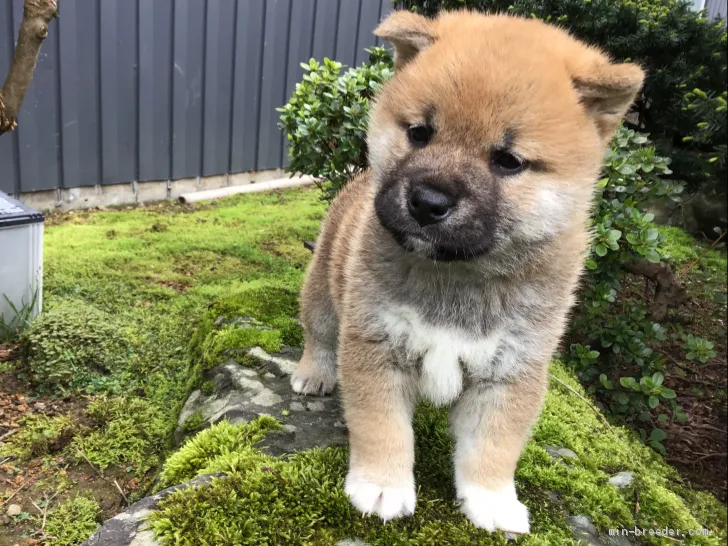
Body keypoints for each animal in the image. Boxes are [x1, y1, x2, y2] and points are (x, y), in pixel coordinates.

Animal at [290, 8, 644, 532]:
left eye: (508, 160)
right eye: (419, 133)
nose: (427, 201)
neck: (459, 276)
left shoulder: (511, 369)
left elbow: (492, 448)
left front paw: (492, 502)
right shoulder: (376, 344)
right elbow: (381, 427)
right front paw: (381, 485)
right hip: (323, 292)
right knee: (318, 334)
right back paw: (313, 373)